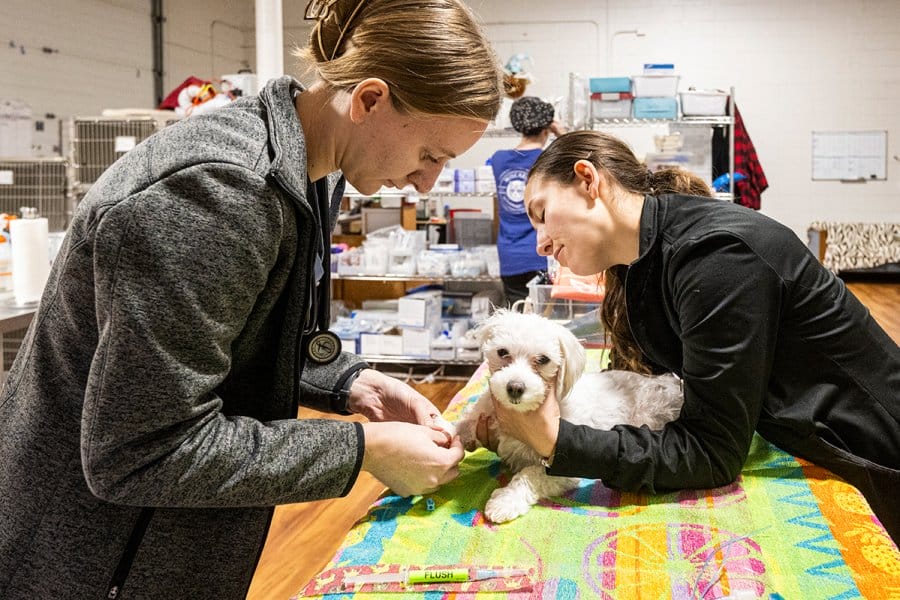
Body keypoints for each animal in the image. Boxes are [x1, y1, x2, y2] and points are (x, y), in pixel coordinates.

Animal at [458, 312, 684, 524]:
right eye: (502, 352)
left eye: (543, 359)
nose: (514, 387)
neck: (522, 413)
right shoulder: (487, 410)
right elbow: (464, 422)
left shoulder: (563, 468)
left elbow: (530, 474)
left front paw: (505, 501)